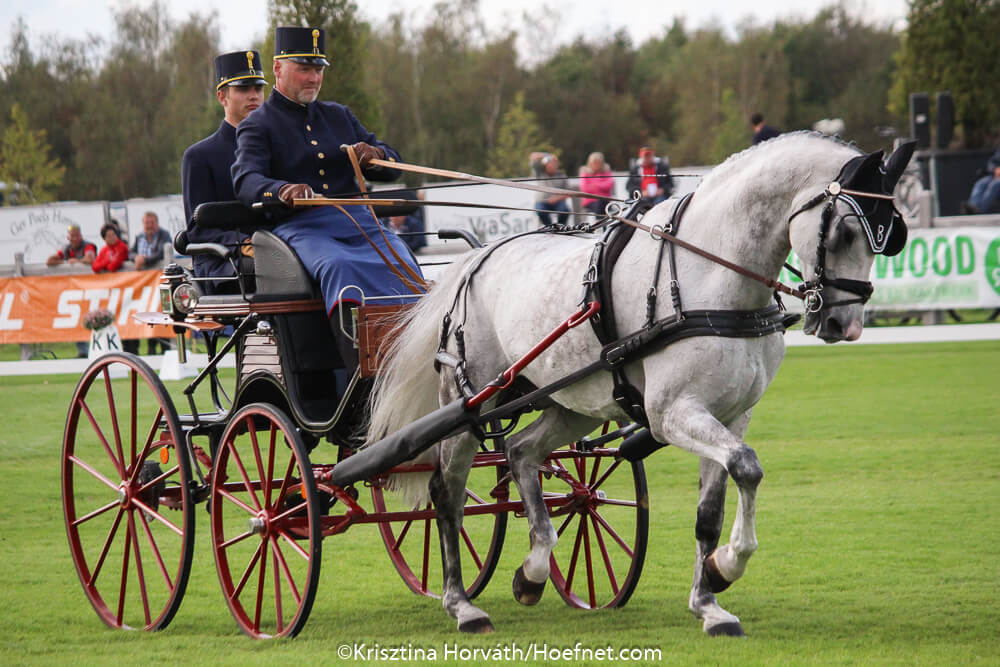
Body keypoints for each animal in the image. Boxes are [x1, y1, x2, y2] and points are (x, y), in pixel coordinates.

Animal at [366, 132, 916, 636]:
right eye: (845, 230)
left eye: (891, 236)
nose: (845, 325)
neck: (709, 275)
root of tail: (476, 259)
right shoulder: (672, 413)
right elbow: (747, 466)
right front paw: (727, 566)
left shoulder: (730, 415)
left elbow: (713, 508)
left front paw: (710, 601)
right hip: (469, 403)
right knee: (447, 492)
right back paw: (462, 604)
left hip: (572, 403)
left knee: (521, 452)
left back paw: (534, 571)